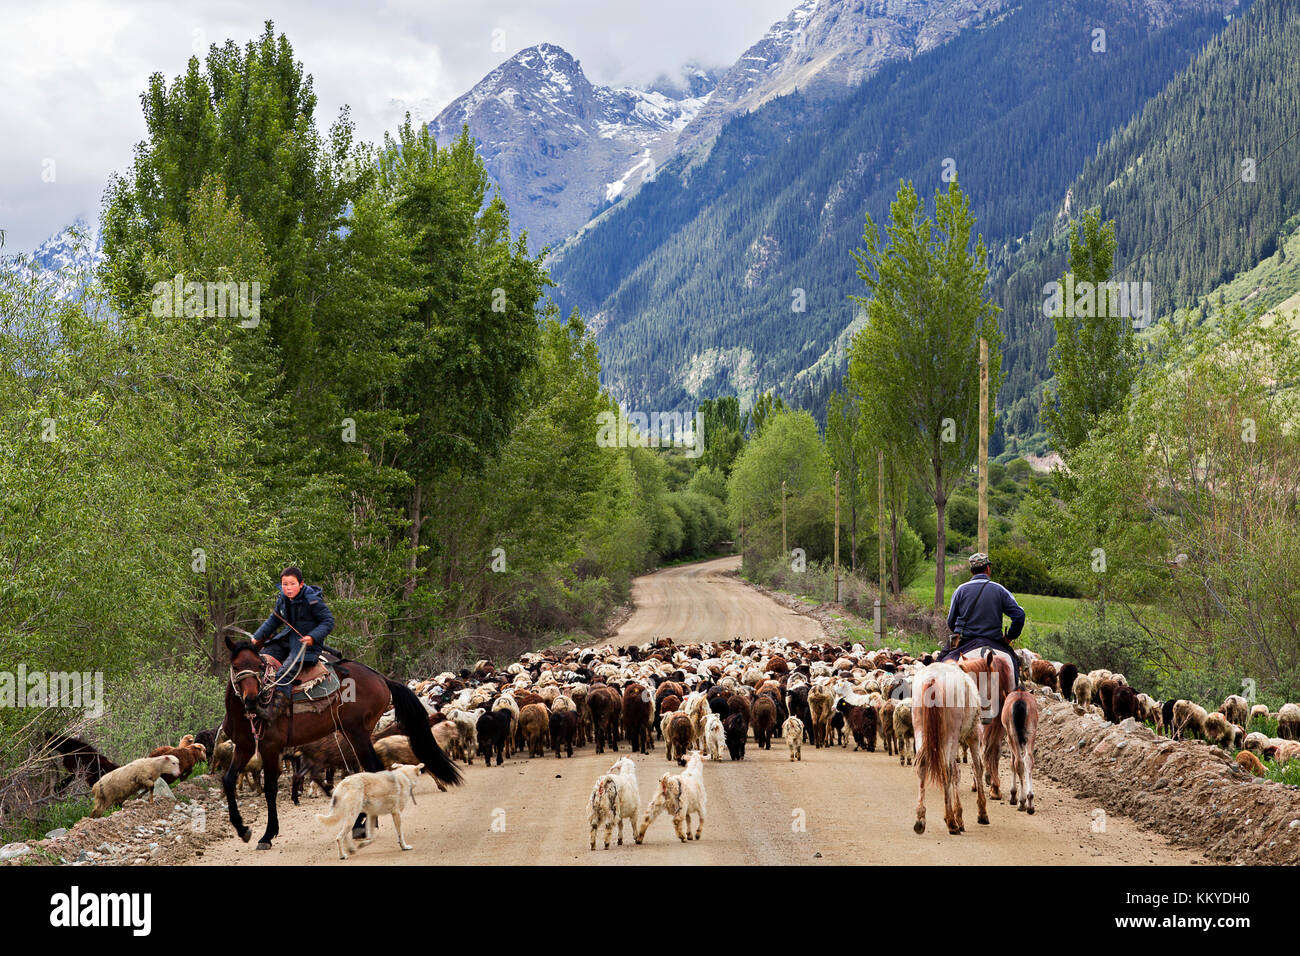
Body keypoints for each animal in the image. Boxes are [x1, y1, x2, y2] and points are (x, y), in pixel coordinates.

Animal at [223, 639, 462, 848]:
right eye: (235, 666)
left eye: (259, 666)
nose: (252, 700)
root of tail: (382, 679)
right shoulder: (244, 747)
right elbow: (228, 780)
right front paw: (242, 829)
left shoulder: (270, 748)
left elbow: (270, 789)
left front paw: (267, 835)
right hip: (351, 735)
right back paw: (361, 823)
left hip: (357, 732)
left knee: (372, 768)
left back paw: (360, 823)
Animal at [909, 660, 987, 832]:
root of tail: (932, 679)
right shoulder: (974, 736)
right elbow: (977, 768)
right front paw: (981, 812)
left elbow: (957, 773)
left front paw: (959, 815)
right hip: (950, 734)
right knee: (947, 769)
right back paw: (951, 822)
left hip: (920, 729)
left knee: (923, 766)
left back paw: (920, 819)